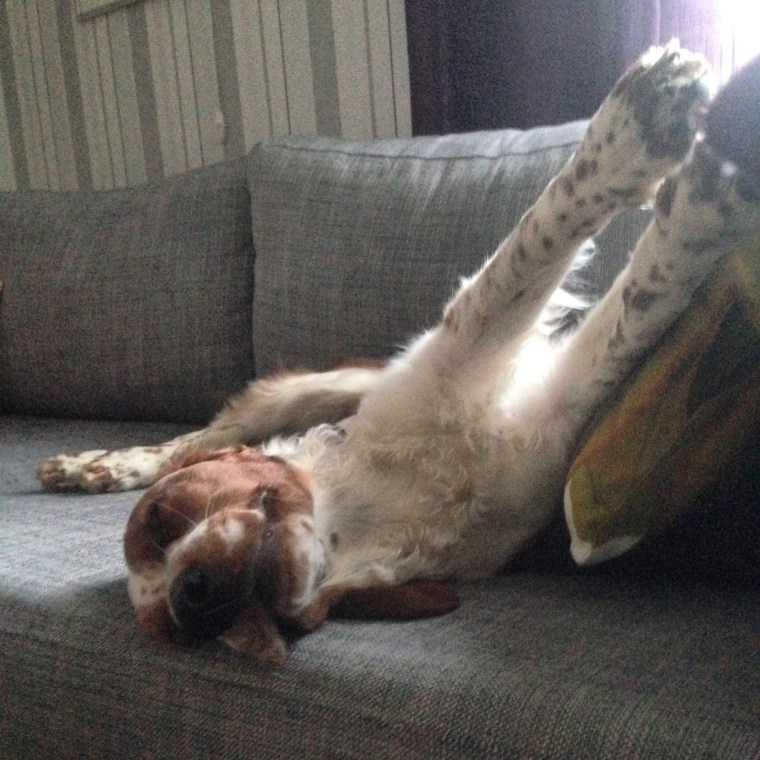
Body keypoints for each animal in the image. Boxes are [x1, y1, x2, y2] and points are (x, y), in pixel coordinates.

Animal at [39, 45, 760, 664]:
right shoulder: (540, 409)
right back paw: (90, 466)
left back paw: (91, 465)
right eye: (175, 631)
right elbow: (598, 287)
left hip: (318, 384)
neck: (387, 506)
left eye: (160, 521)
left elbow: (547, 255)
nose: (193, 598)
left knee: (202, 436)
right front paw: (703, 192)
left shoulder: (509, 406)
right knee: (190, 439)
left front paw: (654, 139)